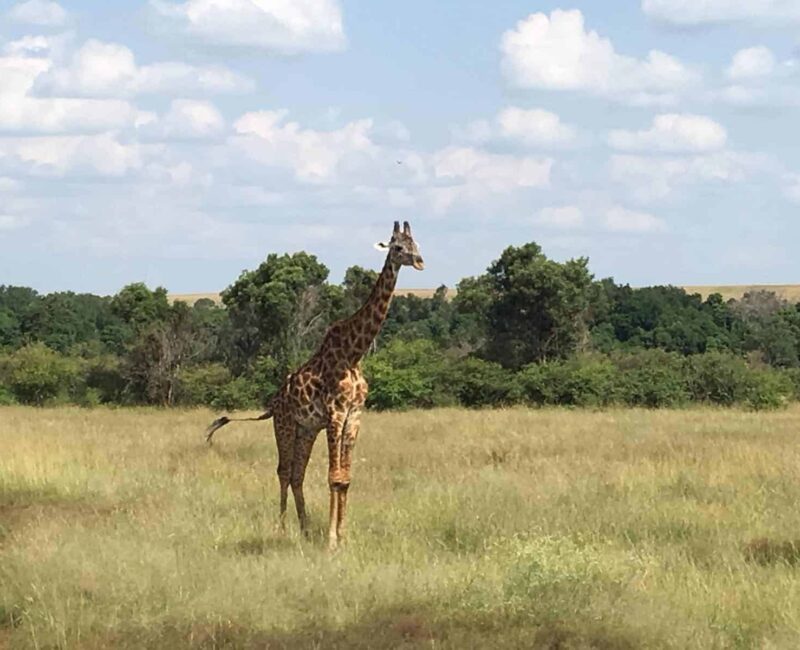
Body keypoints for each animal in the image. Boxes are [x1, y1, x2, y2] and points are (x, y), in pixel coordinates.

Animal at [206, 221, 424, 548]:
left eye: (417, 244)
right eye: (398, 247)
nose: (420, 261)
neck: (354, 353)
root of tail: (273, 402)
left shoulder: (354, 416)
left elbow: (345, 478)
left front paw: (343, 537)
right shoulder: (335, 414)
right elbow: (334, 477)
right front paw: (332, 541)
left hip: (305, 430)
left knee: (298, 474)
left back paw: (305, 528)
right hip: (285, 425)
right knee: (284, 471)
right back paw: (283, 529)